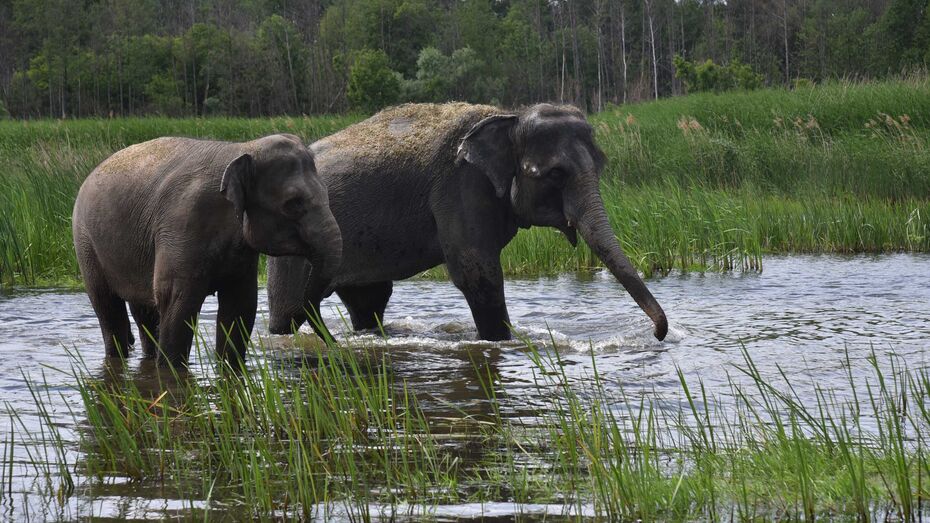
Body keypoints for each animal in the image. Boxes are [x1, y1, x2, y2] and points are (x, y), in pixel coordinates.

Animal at [71, 133, 340, 366]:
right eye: (293, 204)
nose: (334, 343)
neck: (243, 148)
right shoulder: (182, 224)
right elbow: (177, 300)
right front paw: (170, 369)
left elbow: (240, 305)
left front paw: (229, 366)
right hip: (85, 242)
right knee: (107, 307)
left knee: (144, 311)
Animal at [268, 103, 668, 344]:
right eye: (556, 174)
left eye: (601, 164)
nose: (658, 334)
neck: (509, 118)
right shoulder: (459, 187)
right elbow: (477, 272)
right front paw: (500, 341)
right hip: (292, 243)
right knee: (290, 310)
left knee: (370, 300)